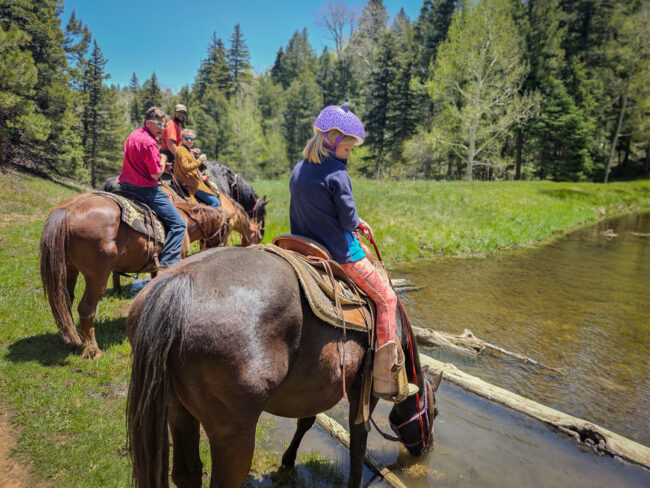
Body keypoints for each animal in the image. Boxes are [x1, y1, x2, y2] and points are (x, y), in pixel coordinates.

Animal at [38, 193, 230, 360]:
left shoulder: (155, 268)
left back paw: (72, 339)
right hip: (97, 276)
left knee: (65, 301)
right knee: (86, 309)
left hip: (69, 269)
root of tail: (69, 209)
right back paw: (93, 350)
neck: (186, 222)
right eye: (226, 230)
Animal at [125, 248, 440, 488]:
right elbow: (358, 437)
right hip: (234, 434)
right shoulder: (364, 392)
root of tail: (178, 283)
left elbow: (307, 421)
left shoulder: (315, 387)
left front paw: (288, 462)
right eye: (435, 412)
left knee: (186, 473)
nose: (427, 448)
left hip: (177, 412)